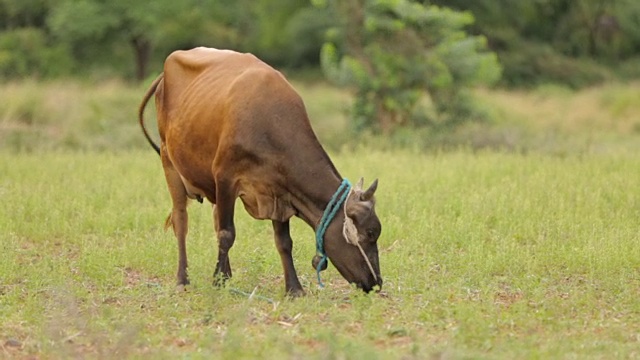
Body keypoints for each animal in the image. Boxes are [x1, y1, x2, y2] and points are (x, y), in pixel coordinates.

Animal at [138, 47, 382, 296]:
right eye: (371, 233)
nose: (376, 283)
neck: (268, 123)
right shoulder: (225, 178)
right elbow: (227, 234)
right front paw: (217, 281)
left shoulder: (279, 191)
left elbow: (284, 242)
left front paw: (294, 289)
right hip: (169, 160)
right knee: (181, 220)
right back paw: (183, 279)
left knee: (214, 220)